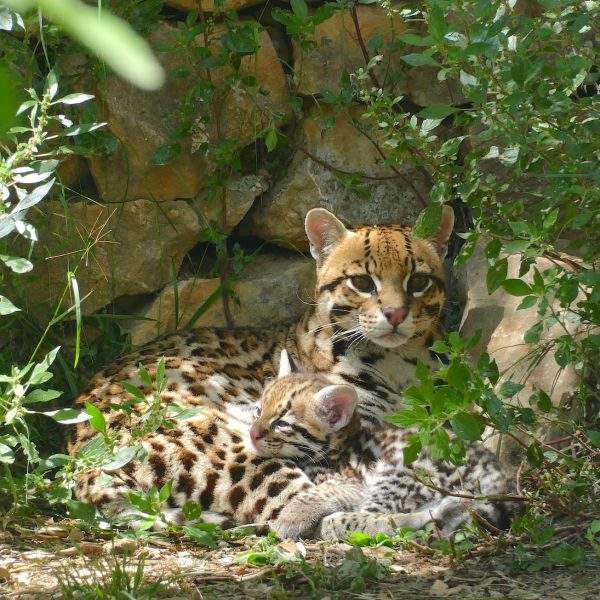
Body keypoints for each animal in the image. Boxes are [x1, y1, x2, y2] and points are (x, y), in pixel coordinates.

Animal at [69, 206, 478, 540]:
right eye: (362, 282)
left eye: (418, 281)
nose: (395, 314)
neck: (398, 362)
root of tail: (85, 469)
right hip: (237, 449)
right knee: (308, 518)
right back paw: (435, 516)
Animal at [251, 356, 512, 540]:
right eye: (258, 411)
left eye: (281, 423)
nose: (253, 433)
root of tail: (501, 486)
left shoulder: (351, 484)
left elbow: (314, 494)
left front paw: (289, 518)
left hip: (401, 472)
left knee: (383, 519)